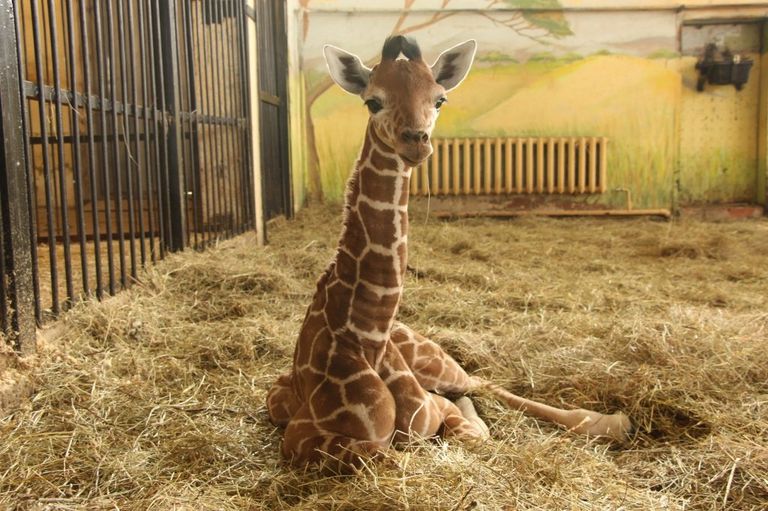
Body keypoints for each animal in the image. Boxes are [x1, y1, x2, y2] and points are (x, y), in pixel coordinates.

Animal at [267, 36, 632, 471]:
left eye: (439, 99)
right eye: (373, 101)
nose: (416, 141)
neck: (368, 334)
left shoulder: (431, 410)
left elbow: (465, 428)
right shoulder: (299, 435)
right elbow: (389, 452)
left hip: (440, 362)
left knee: (481, 381)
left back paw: (613, 422)